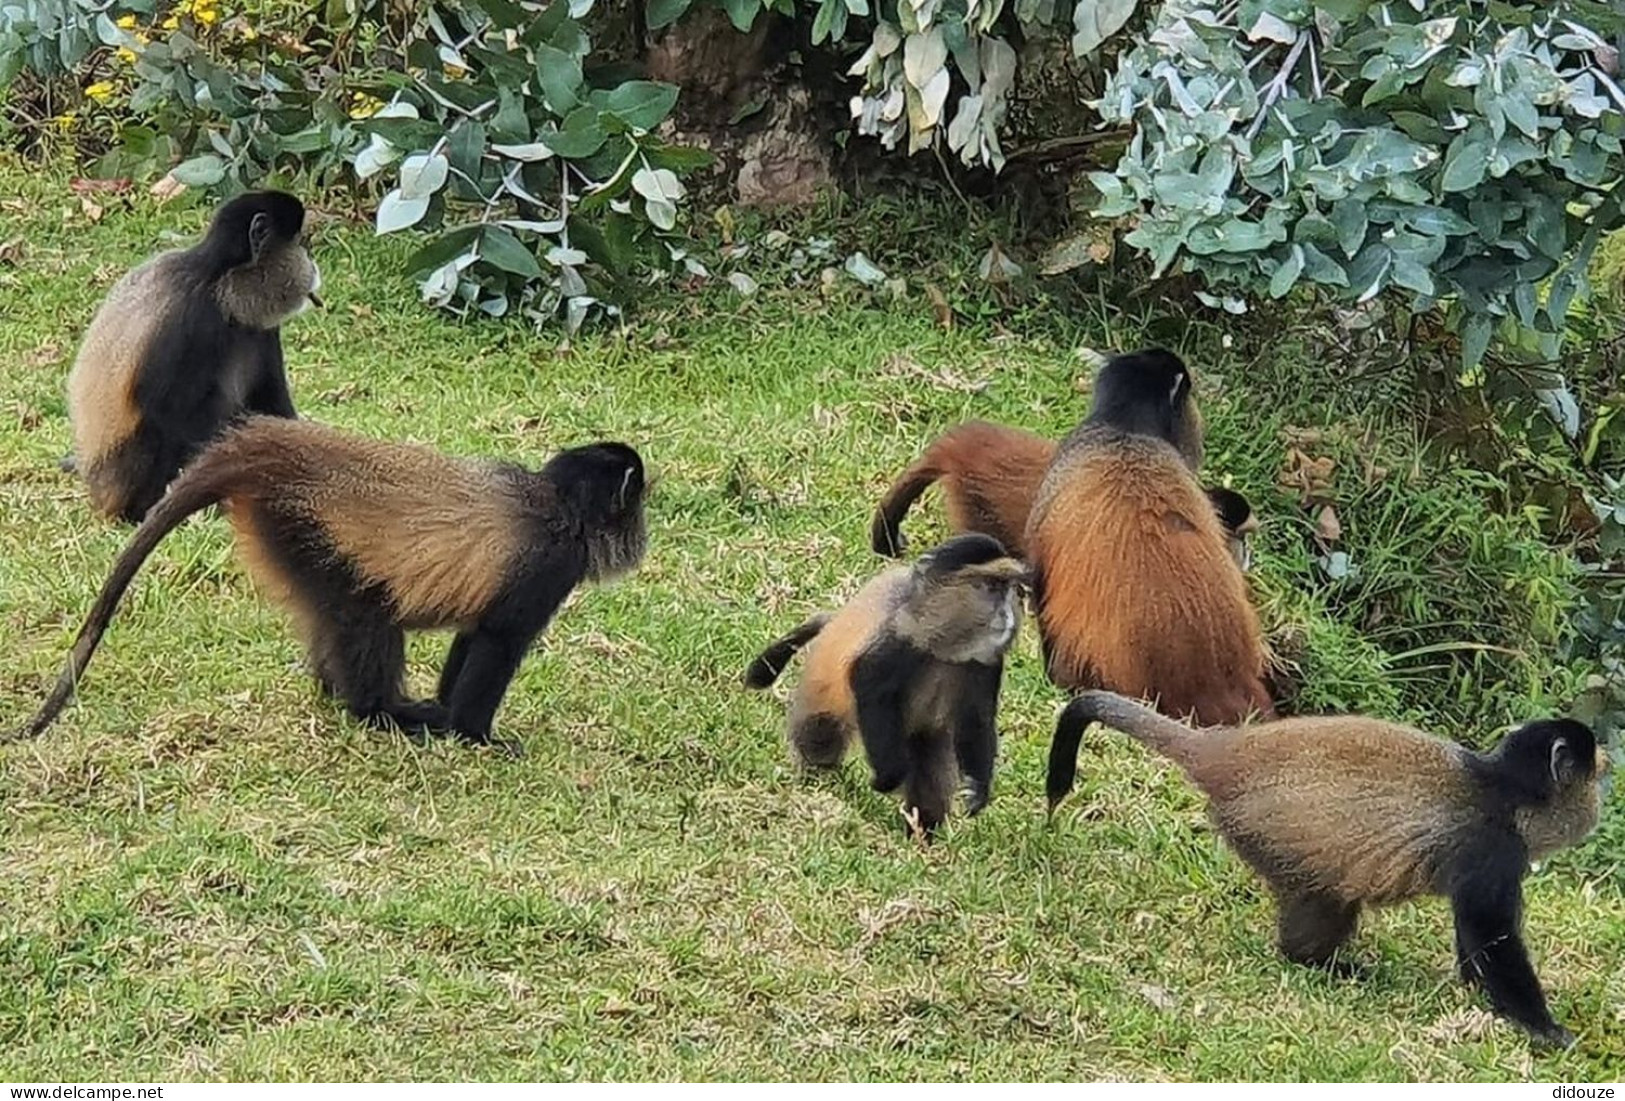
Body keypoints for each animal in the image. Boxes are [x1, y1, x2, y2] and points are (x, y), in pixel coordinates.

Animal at [15, 418, 646, 753]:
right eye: (636, 504)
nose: (642, 538)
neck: (557, 503)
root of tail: (271, 451)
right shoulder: (548, 563)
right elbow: (498, 642)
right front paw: (472, 736)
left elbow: (475, 633)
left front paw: (448, 716)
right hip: (302, 529)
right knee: (367, 617)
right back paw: (376, 711)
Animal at [67, 190, 323, 526]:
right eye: (301, 244)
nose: (313, 265)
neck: (222, 287)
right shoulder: (193, 314)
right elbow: (159, 407)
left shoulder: (261, 326)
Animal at [744, 535, 1020, 837]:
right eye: (992, 586)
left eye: (1009, 589)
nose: (1009, 616)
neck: (945, 648)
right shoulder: (897, 643)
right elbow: (869, 686)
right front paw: (887, 778)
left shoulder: (987, 663)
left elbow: (977, 718)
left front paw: (978, 791)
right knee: (822, 732)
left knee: (930, 777)